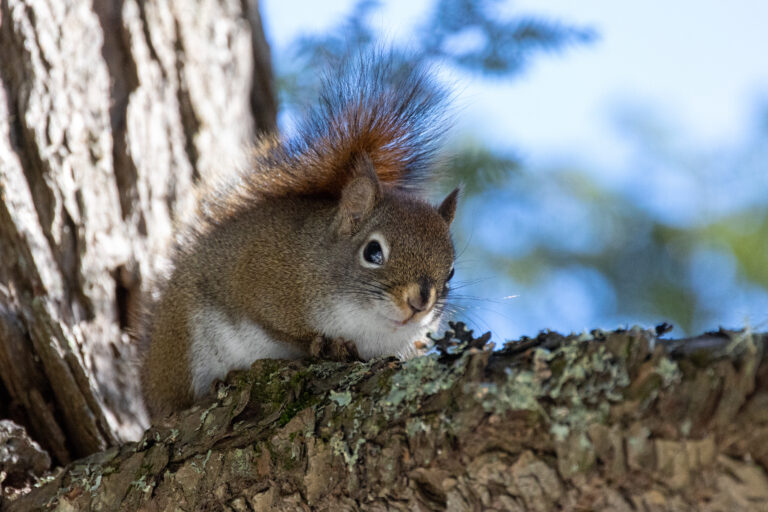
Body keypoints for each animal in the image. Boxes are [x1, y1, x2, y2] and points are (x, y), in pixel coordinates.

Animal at [139, 56, 460, 420]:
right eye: (373, 252)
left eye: (451, 272)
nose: (420, 302)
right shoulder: (261, 275)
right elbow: (278, 326)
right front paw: (326, 343)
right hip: (182, 342)